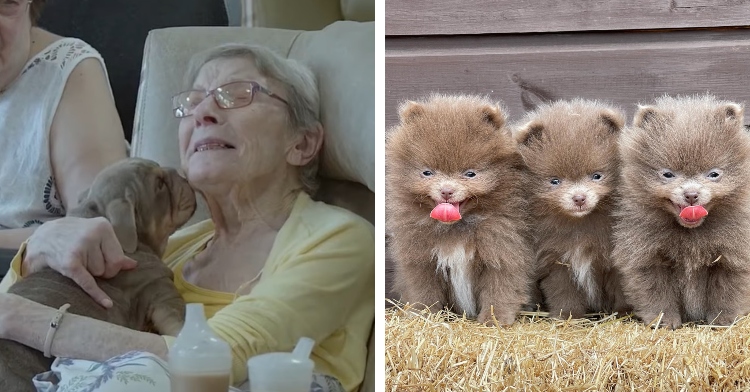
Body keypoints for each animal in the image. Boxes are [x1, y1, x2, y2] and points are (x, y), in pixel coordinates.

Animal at [388, 92, 536, 324]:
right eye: (427, 173)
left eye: (470, 174)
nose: (446, 191)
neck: (457, 227)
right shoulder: (421, 258)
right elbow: (423, 291)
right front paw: (423, 315)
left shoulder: (502, 250)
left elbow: (500, 289)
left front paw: (494, 319)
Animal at [516, 99, 632, 320]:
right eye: (555, 181)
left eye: (597, 176)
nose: (579, 198)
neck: (580, 225)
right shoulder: (557, 259)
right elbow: (563, 291)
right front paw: (567, 315)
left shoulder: (614, 258)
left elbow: (622, 287)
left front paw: (624, 312)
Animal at [612, 95, 750, 328]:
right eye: (668, 174)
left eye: (714, 174)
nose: (691, 194)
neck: (691, 234)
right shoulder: (648, 257)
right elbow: (657, 293)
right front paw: (664, 321)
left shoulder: (732, 256)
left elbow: (726, 292)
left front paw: (723, 320)